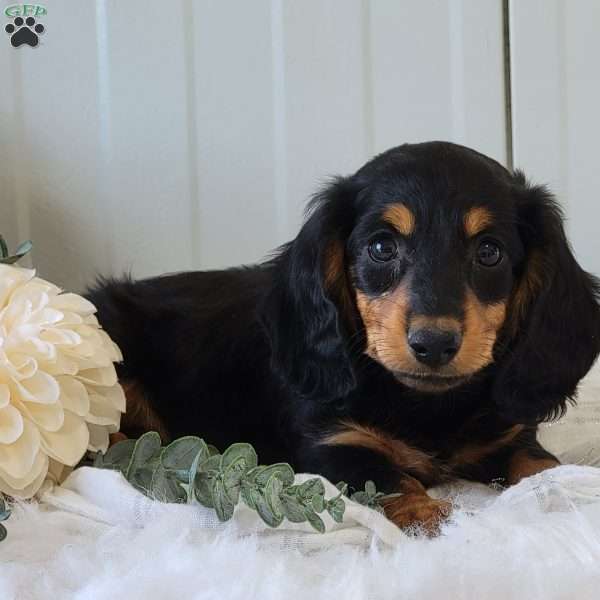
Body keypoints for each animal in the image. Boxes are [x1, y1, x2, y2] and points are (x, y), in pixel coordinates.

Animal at [88, 142, 600, 536]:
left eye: (489, 252)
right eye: (381, 247)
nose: (434, 344)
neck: (426, 406)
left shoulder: (507, 436)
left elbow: (539, 464)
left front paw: (575, 487)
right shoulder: (333, 444)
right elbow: (390, 477)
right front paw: (431, 518)